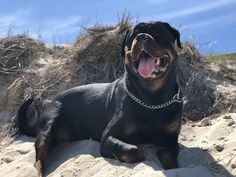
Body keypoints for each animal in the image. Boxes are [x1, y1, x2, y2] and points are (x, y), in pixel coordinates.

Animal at [18, 21, 183, 176]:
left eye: (157, 33)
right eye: (132, 36)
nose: (141, 37)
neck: (151, 98)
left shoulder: (169, 143)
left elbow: (173, 165)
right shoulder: (108, 138)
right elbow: (133, 150)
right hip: (49, 124)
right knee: (38, 160)